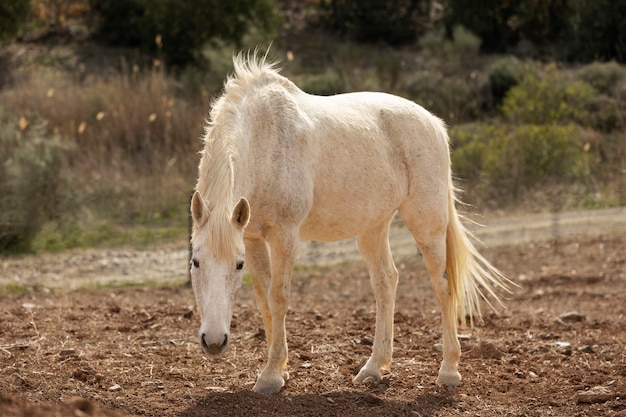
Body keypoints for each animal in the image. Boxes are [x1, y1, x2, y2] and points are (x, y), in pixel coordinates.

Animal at [190, 52, 512, 394]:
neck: (263, 139)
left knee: (443, 285)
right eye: (195, 262)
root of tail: (434, 123)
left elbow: (278, 297)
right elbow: (264, 298)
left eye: (236, 265)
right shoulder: (252, 237)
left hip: (427, 222)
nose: (214, 342)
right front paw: (279, 369)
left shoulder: (284, 236)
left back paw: (449, 370)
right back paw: (374, 367)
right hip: (373, 227)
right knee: (386, 281)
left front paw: (271, 376)